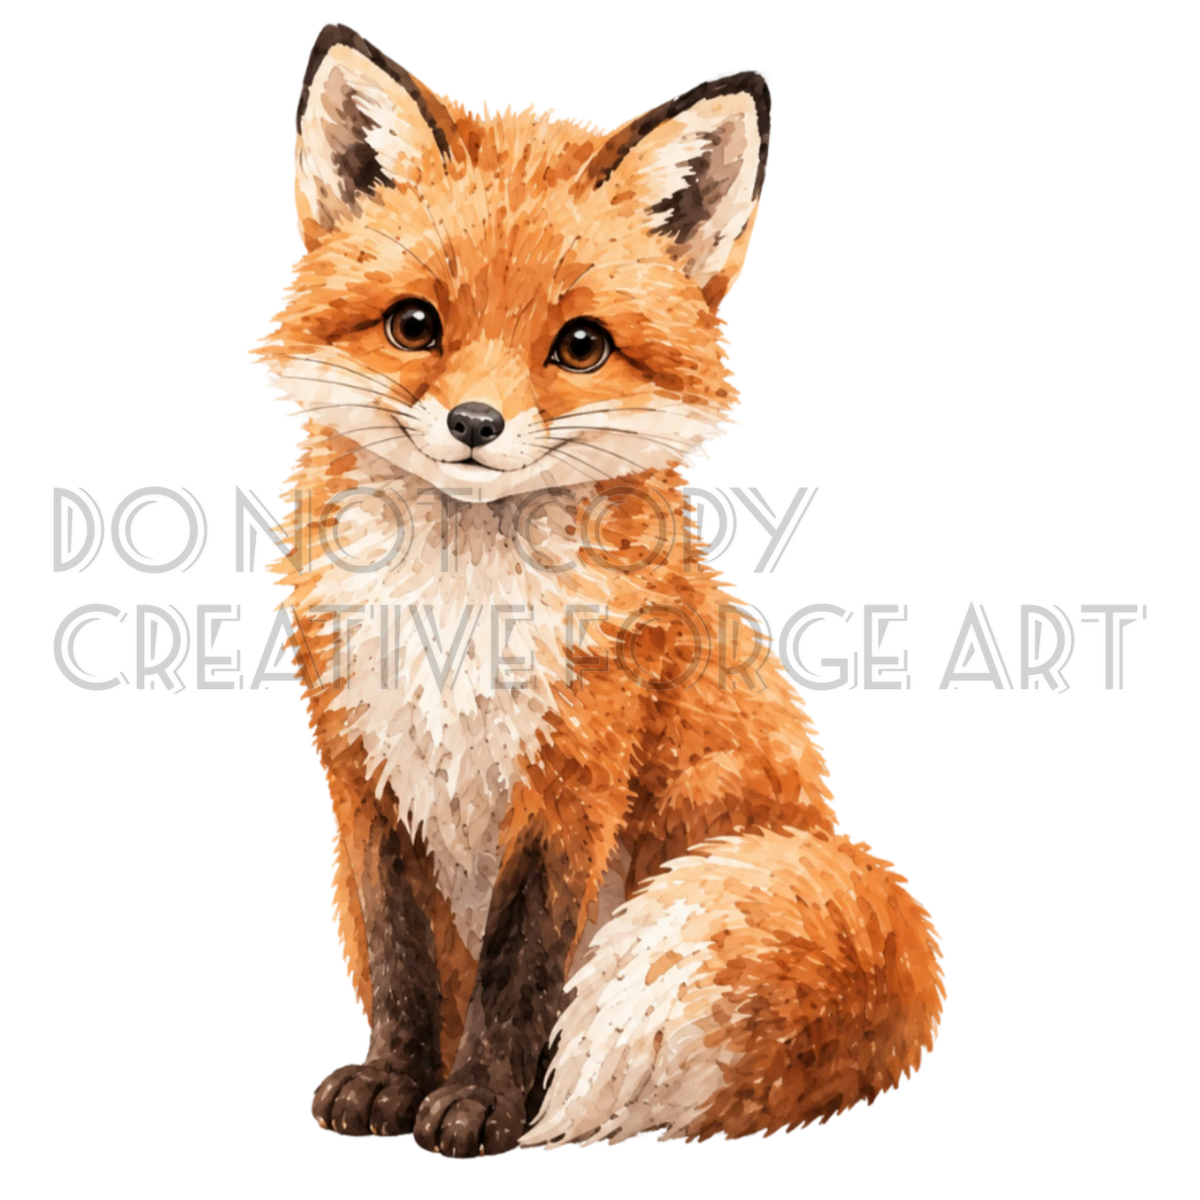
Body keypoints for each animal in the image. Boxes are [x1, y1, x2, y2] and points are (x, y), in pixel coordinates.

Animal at [248, 20, 947, 1158]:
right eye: (413, 325)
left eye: (580, 345)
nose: (475, 424)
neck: (459, 613)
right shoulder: (363, 772)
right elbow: (402, 961)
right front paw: (393, 1084)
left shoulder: (577, 772)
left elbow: (521, 968)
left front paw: (483, 1107)